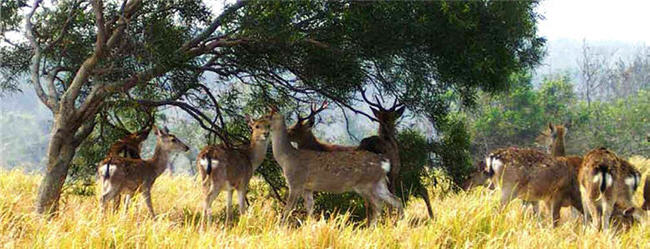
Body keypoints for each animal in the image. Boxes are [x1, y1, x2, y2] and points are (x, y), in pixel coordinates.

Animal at [268, 108, 400, 225]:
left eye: (294, 128)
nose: (287, 133)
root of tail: (385, 163)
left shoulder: (296, 184)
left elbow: (288, 209)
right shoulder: (307, 187)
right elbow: (310, 208)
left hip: (366, 184)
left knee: (378, 204)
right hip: (380, 184)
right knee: (395, 200)